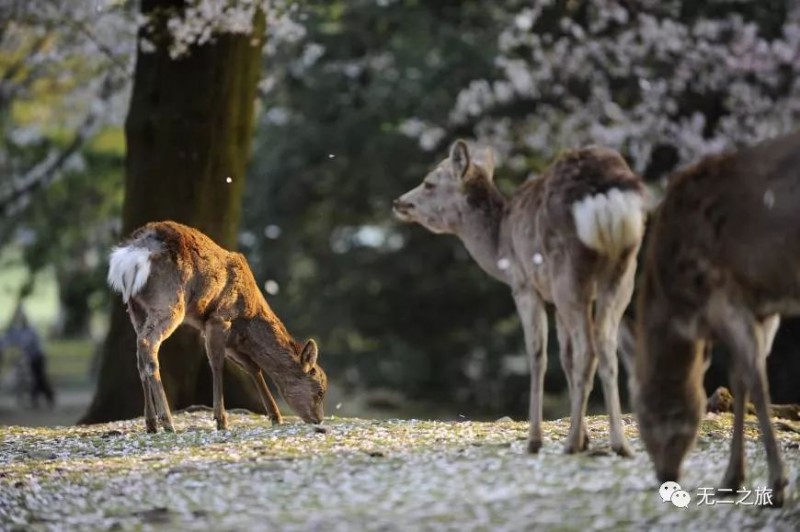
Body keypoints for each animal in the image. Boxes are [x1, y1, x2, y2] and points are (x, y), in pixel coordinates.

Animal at [107, 220, 328, 432]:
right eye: (319, 391)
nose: (318, 419)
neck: (248, 316)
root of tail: (130, 256)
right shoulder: (219, 318)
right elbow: (217, 363)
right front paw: (221, 419)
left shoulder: (229, 335)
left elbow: (252, 366)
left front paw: (275, 416)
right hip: (168, 301)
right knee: (148, 344)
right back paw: (168, 422)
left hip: (135, 308)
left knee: (139, 353)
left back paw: (151, 423)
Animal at [394, 140, 644, 454]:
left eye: (428, 183)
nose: (399, 202)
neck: (501, 248)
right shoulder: (555, 301)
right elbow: (566, 357)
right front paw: (586, 437)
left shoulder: (525, 285)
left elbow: (537, 355)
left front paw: (536, 440)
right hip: (622, 271)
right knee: (607, 345)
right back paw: (619, 444)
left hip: (568, 270)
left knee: (589, 348)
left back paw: (572, 444)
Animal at [632, 132, 800, 508]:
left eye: (642, 413)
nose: (665, 475)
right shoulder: (764, 308)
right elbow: (739, 379)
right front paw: (732, 480)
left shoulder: (724, 292)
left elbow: (754, 379)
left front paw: (777, 485)